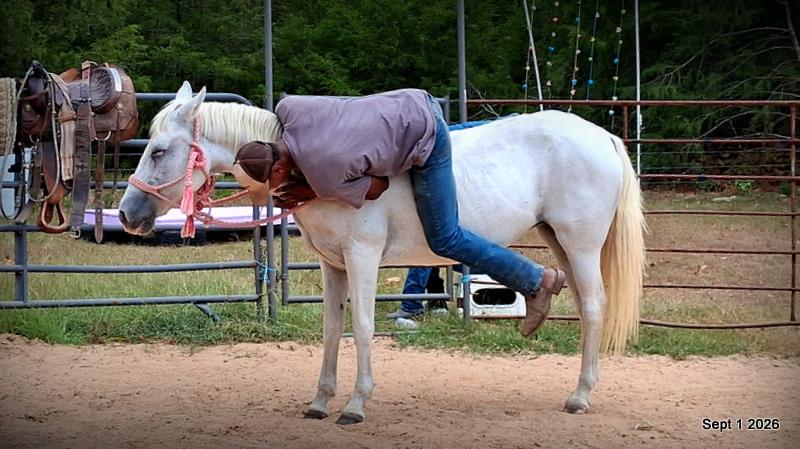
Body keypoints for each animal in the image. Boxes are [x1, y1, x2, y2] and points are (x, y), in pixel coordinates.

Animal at [119, 82, 646, 424]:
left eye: (159, 151)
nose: (126, 213)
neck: (300, 164)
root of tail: (603, 136)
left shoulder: (363, 257)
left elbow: (364, 328)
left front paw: (355, 405)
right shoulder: (332, 264)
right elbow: (331, 331)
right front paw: (320, 402)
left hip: (580, 242)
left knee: (593, 307)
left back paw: (580, 396)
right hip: (558, 238)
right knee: (573, 295)